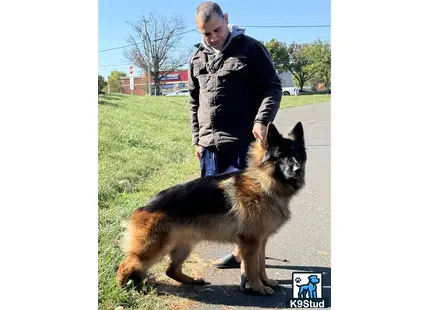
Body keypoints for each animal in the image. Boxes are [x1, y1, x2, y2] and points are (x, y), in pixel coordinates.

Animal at [116, 121, 306, 296]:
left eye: (297, 154)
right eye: (281, 156)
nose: (297, 170)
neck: (263, 183)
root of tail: (145, 205)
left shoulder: (261, 240)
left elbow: (261, 266)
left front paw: (265, 281)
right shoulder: (251, 241)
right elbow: (252, 269)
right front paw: (258, 288)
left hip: (185, 245)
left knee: (171, 270)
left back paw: (192, 280)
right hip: (154, 249)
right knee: (125, 265)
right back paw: (122, 288)